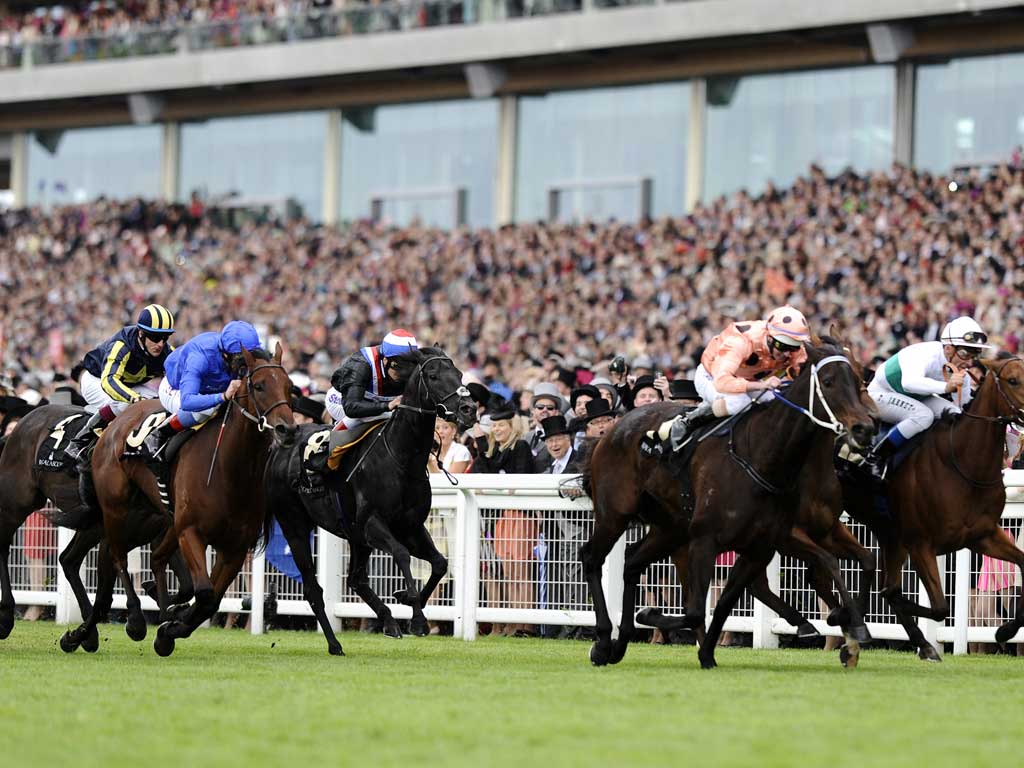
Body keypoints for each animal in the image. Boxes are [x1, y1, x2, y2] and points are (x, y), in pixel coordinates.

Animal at [0, 403, 192, 651]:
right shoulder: (114, 534)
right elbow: (106, 593)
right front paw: (135, 621)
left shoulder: (157, 532)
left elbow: (186, 584)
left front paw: (163, 602)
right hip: (17, 503)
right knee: (5, 547)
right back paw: (6, 617)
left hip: (88, 527)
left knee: (68, 560)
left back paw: (89, 634)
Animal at [61, 348, 296, 655]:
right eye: (259, 386)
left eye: (289, 387)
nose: (287, 430)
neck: (231, 469)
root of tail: (115, 424)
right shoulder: (191, 532)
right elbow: (205, 594)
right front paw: (169, 626)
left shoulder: (235, 546)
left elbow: (211, 600)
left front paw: (170, 627)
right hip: (117, 510)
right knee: (117, 557)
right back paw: (131, 619)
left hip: (151, 519)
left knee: (144, 559)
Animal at [262, 348, 473, 655]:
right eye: (433, 376)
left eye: (458, 374)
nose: (469, 409)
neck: (401, 458)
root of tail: (278, 449)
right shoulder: (373, 523)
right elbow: (402, 554)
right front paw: (417, 619)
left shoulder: (410, 527)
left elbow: (440, 563)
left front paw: (408, 600)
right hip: (295, 525)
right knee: (314, 589)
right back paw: (335, 643)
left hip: (354, 535)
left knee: (356, 580)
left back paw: (388, 621)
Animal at [581, 342, 876, 667]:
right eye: (828, 381)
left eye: (857, 380)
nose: (865, 428)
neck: (761, 458)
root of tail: (611, 430)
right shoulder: (708, 540)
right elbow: (697, 610)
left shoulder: (762, 547)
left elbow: (723, 604)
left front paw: (707, 654)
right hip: (614, 514)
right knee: (591, 558)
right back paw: (603, 641)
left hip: (671, 527)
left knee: (632, 561)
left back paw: (620, 642)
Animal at [839, 356, 1024, 663]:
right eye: (1013, 380)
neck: (962, 464)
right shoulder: (920, 544)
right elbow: (936, 607)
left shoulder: (984, 536)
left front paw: (1004, 631)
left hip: (887, 534)